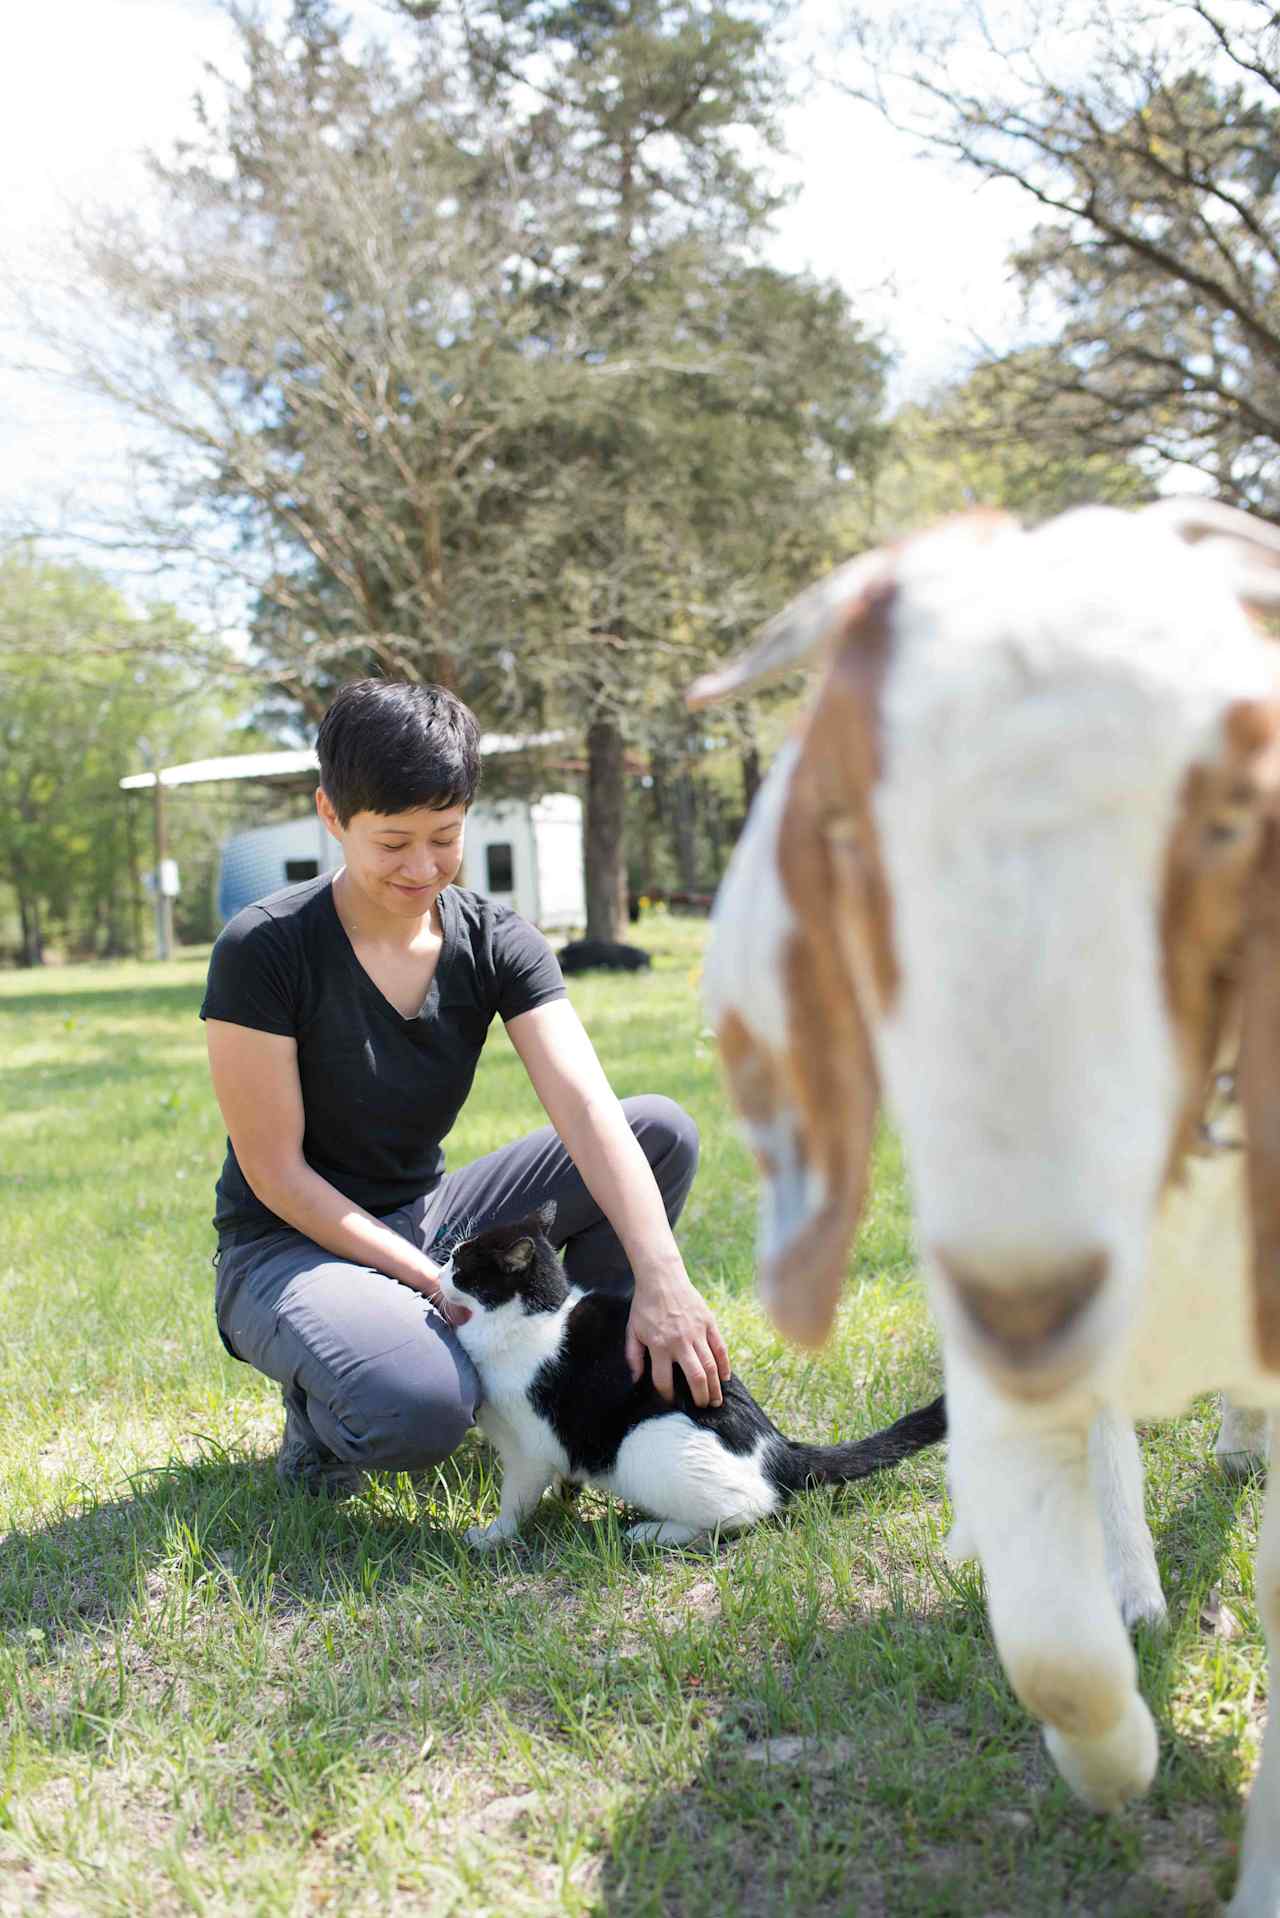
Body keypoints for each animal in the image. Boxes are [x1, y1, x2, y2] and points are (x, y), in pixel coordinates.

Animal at [435, 1204, 948, 1549]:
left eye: (460, 1267)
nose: (438, 1270)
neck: (535, 1317)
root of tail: (779, 1449)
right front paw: (565, 1496)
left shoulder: (529, 1447)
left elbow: (516, 1499)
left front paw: (492, 1536)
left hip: (642, 1444)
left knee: (744, 1512)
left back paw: (651, 1531)